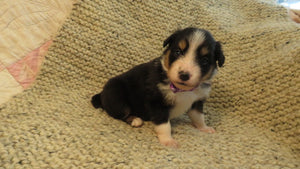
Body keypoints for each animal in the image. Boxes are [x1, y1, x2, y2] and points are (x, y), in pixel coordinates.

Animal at [91, 27, 225, 147]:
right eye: (178, 51)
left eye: (204, 60)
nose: (184, 75)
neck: (181, 89)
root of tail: (101, 94)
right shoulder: (157, 102)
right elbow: (164, 125)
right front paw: (168, 140)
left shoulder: (196, 101)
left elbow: (198, 117)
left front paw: (204, 128)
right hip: (117, 96)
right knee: (120, 113)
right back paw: (135, 119)